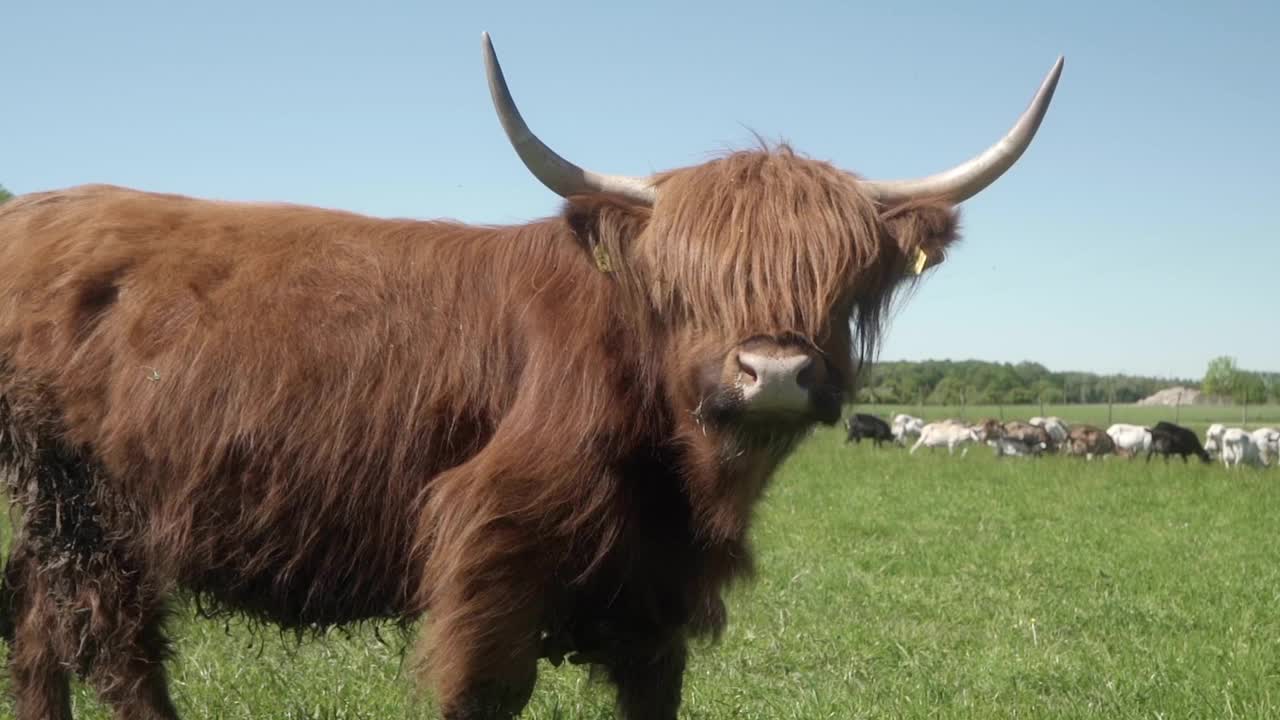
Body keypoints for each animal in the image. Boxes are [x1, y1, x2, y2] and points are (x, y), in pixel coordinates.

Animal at [0, 33, 1059, 717]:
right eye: (687, 283)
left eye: (839, 278)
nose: (775, 371)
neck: (679, 480)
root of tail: (39, 207)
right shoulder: (490, 563)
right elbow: (484, 694)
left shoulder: (658, 602)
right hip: (89, 506)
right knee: (113, 649)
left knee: (41, 631)